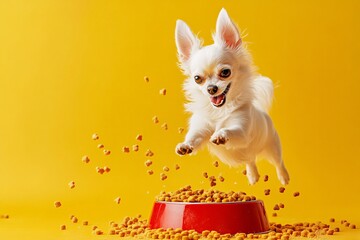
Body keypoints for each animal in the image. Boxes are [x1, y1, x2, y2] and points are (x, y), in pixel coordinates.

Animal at [174, 7, 290, 186]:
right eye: (197, 78)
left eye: (225, 72)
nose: (211, 88)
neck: (218, 111)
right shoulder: (201, 128)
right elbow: (194, 137)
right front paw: (185, 145)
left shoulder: (242, 131)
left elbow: (231, 130)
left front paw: (221, 135)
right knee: (250, 160)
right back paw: (253, 176)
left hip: (273, 147)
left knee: (279, 162)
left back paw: (284, 177)